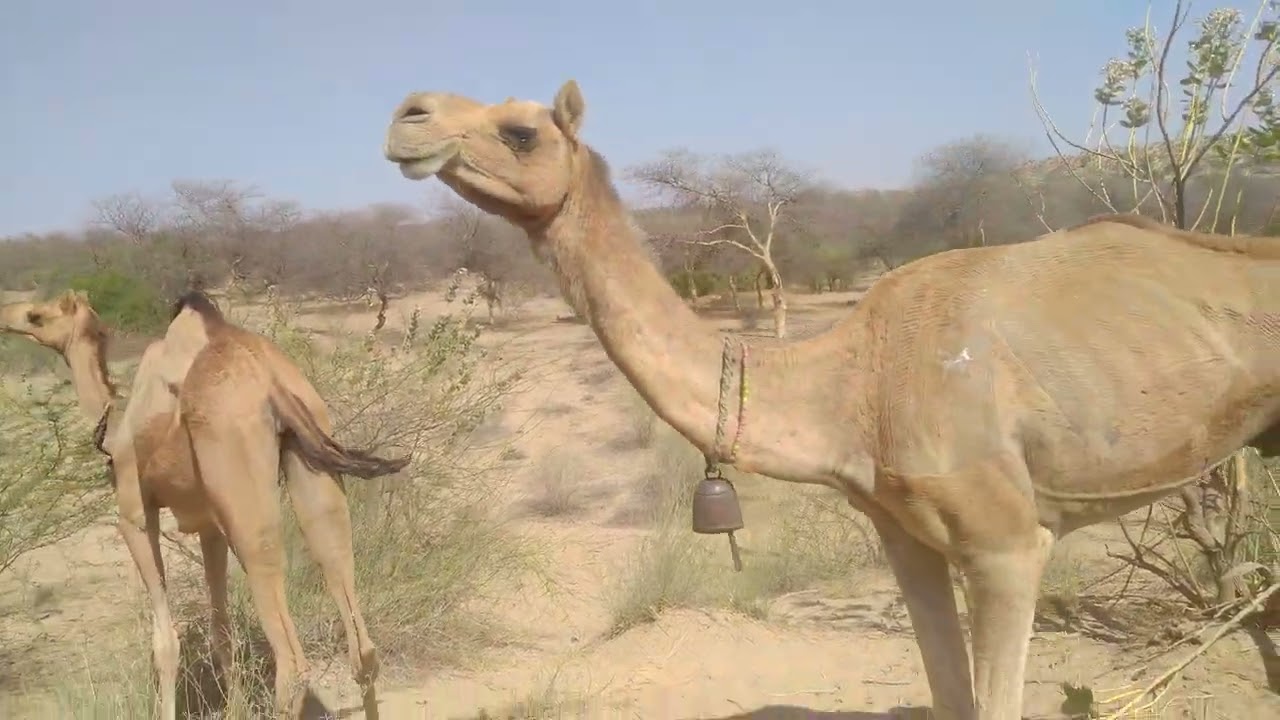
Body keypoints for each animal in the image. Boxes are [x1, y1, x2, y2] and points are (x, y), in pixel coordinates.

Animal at [0, 289, 408, 719]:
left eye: (37, 315)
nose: (7, 316)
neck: (114, 427)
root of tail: (271, 381)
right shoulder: (209, 526)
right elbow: (221, 634)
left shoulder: (134, 514)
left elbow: (165, 644)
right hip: (312, 462)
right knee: (361, 644)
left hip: (243, 493)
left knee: (292, 664)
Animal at [380, 80, 1280, 720]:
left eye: (520, 130)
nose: (407, 115)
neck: (849, 386)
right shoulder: (903, 534)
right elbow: (949, 695)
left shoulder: (1005, 541)